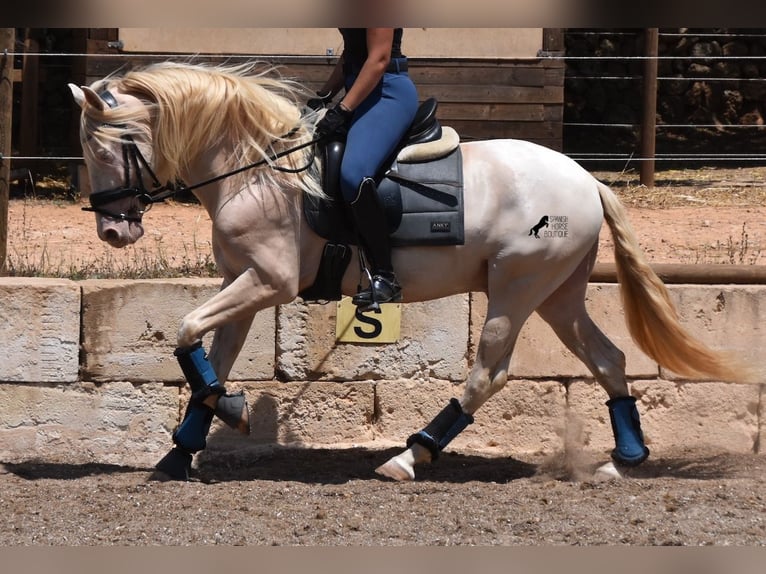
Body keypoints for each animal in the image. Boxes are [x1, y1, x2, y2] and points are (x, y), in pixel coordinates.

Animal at [69, 63, 752, 484]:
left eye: (105, 148)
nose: (112, 232)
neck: (257, 168)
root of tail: (586, 179)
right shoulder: (244, 284)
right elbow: (207, 356)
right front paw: (183, 450)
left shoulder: (269, 282)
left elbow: (188, 330)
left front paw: (226, 416)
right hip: (558, 292)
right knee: (608, 358)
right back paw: (623, 461)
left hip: (516, 288)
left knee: (490, 373)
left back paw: (411, 455)